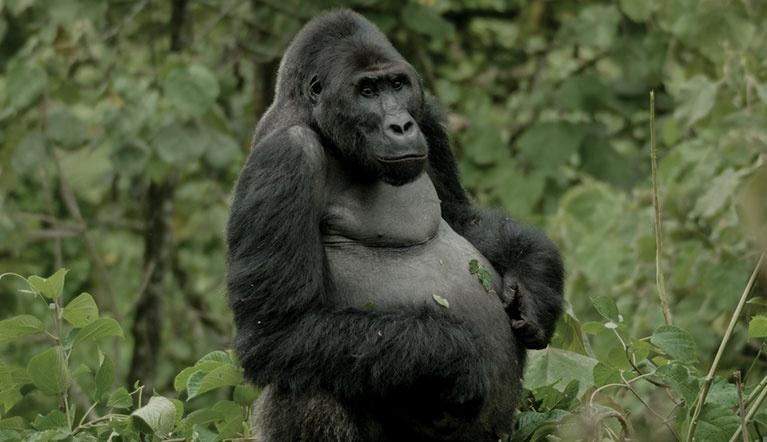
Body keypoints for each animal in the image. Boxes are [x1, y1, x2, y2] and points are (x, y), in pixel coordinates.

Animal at [226, 8, 564, 440]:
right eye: (367, 91)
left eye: (398, 85)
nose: (401, 126)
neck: (319, 123)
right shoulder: (285, 157)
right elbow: (277, 332)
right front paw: (454, 356)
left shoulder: (428, 117)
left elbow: (463, 217)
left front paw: (535, 285)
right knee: (310, 380)